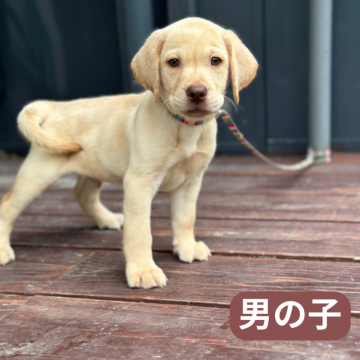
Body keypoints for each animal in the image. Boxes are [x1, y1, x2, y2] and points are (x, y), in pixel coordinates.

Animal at [0, 17, 258, 290]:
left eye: (216, 61)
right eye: (173, 63)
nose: (197, 92)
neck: (184, 127)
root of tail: (53, 106)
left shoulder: (190, 182)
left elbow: (186, 217)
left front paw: (187, 246)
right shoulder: (139, 182)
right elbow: (140, 232)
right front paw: (144, 270)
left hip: (93, 168)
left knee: (82, 194)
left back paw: (107, 220)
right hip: (39, 172)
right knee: (8, 205)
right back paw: (3, 249)